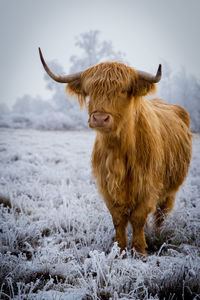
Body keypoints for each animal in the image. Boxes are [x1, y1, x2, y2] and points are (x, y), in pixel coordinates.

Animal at [38, 49, 192, 255]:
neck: (119, 151)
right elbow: (118, 218)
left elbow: (138, 218)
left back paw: (158, 234)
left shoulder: (148, 186)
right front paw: (119, 250)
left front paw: (139, 251)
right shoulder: (107, 187)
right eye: (90, 91)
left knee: (162, 213)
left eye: (123, 90)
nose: (100, 118)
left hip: (171, 188)